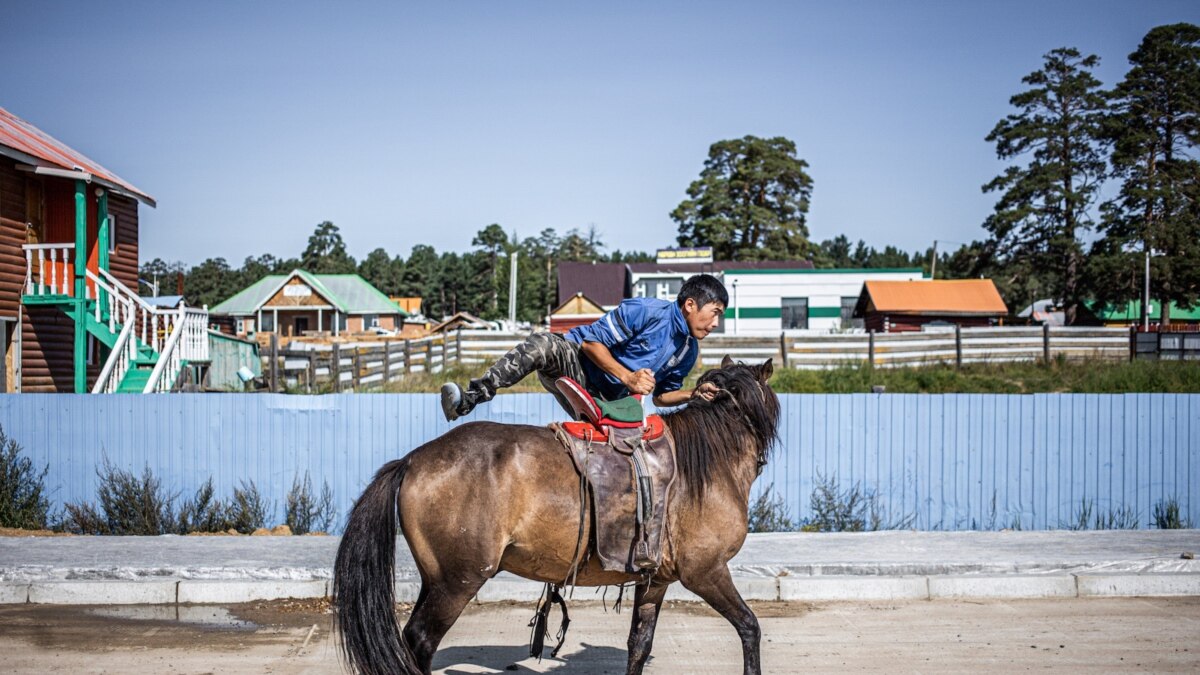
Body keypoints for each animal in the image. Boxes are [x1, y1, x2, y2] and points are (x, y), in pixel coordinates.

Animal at [333, 355, 782, 667]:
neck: (703, 463)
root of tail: (411, 460)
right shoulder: (706, 572)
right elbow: (750, 628)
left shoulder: (655, 581)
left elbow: (638, 646)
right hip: (456, 582)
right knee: (421, 642)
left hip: (437, 579)